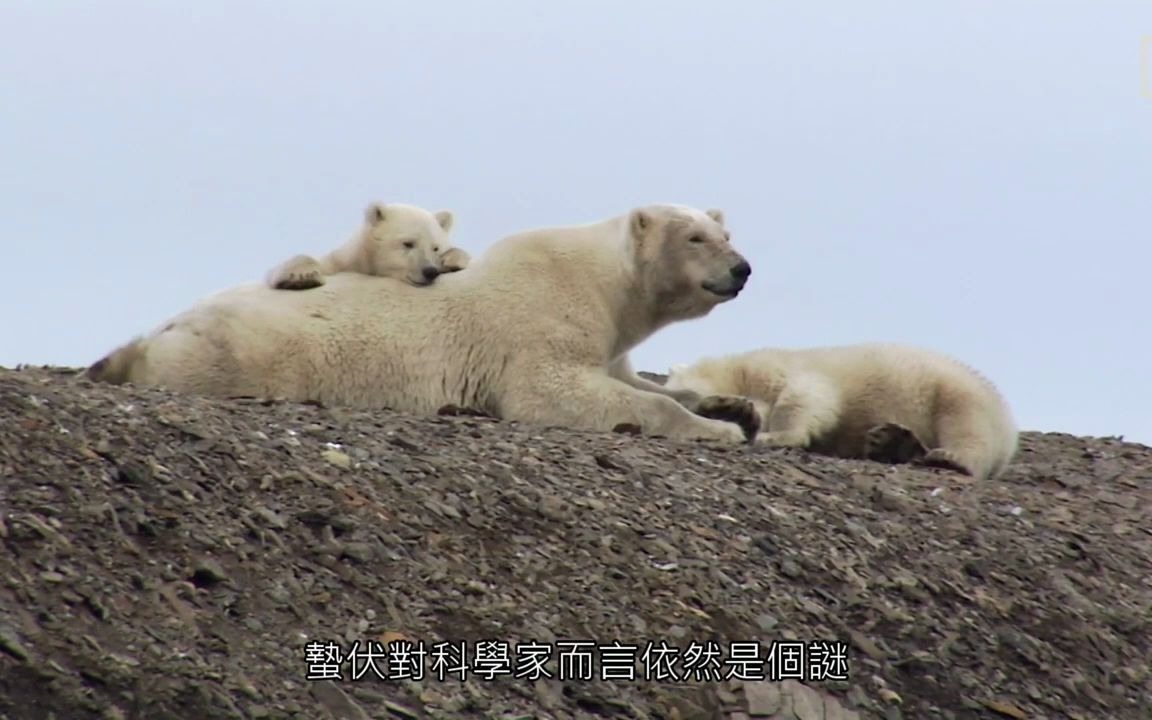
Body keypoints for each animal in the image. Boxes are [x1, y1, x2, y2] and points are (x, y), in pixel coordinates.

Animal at [85, 202, 760, 446]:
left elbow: (636, 380)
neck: (602, 280)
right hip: (240, 351)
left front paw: (736, 407)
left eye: (727, 231)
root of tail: (159, 331)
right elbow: (554, 392)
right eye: (696, 237)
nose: (742, 268)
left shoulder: (609, 339)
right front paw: (718, 429)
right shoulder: (539, 321)